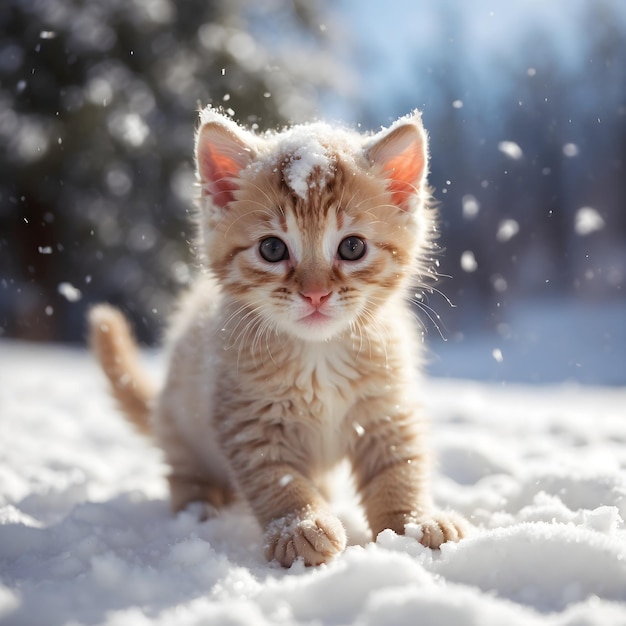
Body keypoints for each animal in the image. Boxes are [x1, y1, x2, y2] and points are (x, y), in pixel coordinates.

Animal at [90, 107, 466, 564]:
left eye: (352, 248)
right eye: (272, 249)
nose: (315, 293)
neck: (319, 354)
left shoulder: (386, 408)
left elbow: (399, 468)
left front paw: (414, 523)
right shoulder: (249, 420)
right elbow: (278, 479)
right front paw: (300, 527)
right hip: (180, 423)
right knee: (182, 473)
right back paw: (200, 508)